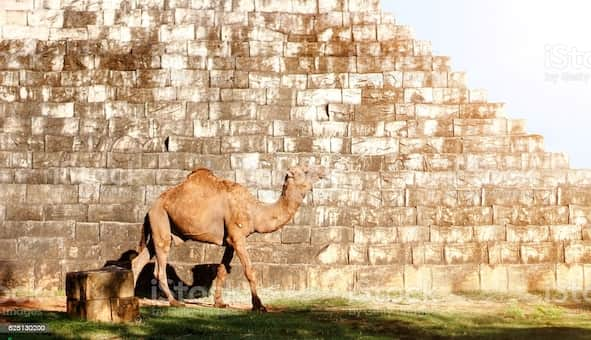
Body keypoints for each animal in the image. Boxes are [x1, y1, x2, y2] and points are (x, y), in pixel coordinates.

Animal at [130, 165, 326, 310]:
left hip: (162, 227)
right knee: (159, 264)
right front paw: (259, 305)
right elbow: (249, 270)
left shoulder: (230, 241)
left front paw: (220, 303)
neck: (255, 211)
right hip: (160, 219)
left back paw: (130, 296)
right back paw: (174, 302)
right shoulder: (238, 236)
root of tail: (151, 208)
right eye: (305, 170)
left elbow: (222, 270)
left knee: (140, 259)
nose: (323, 170)